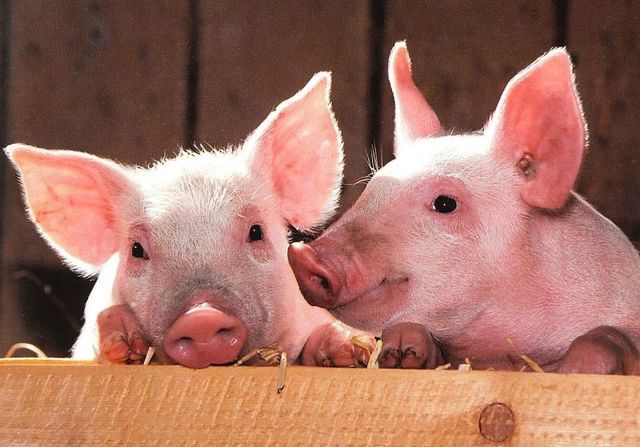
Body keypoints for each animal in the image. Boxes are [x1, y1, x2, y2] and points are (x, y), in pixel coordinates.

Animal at [288, 42, 640, 374]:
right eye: (372, 189)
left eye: (445, 203)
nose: (303, 255)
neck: (505, 351)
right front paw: (395, 351)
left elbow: (607, 337)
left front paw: (574, 370)